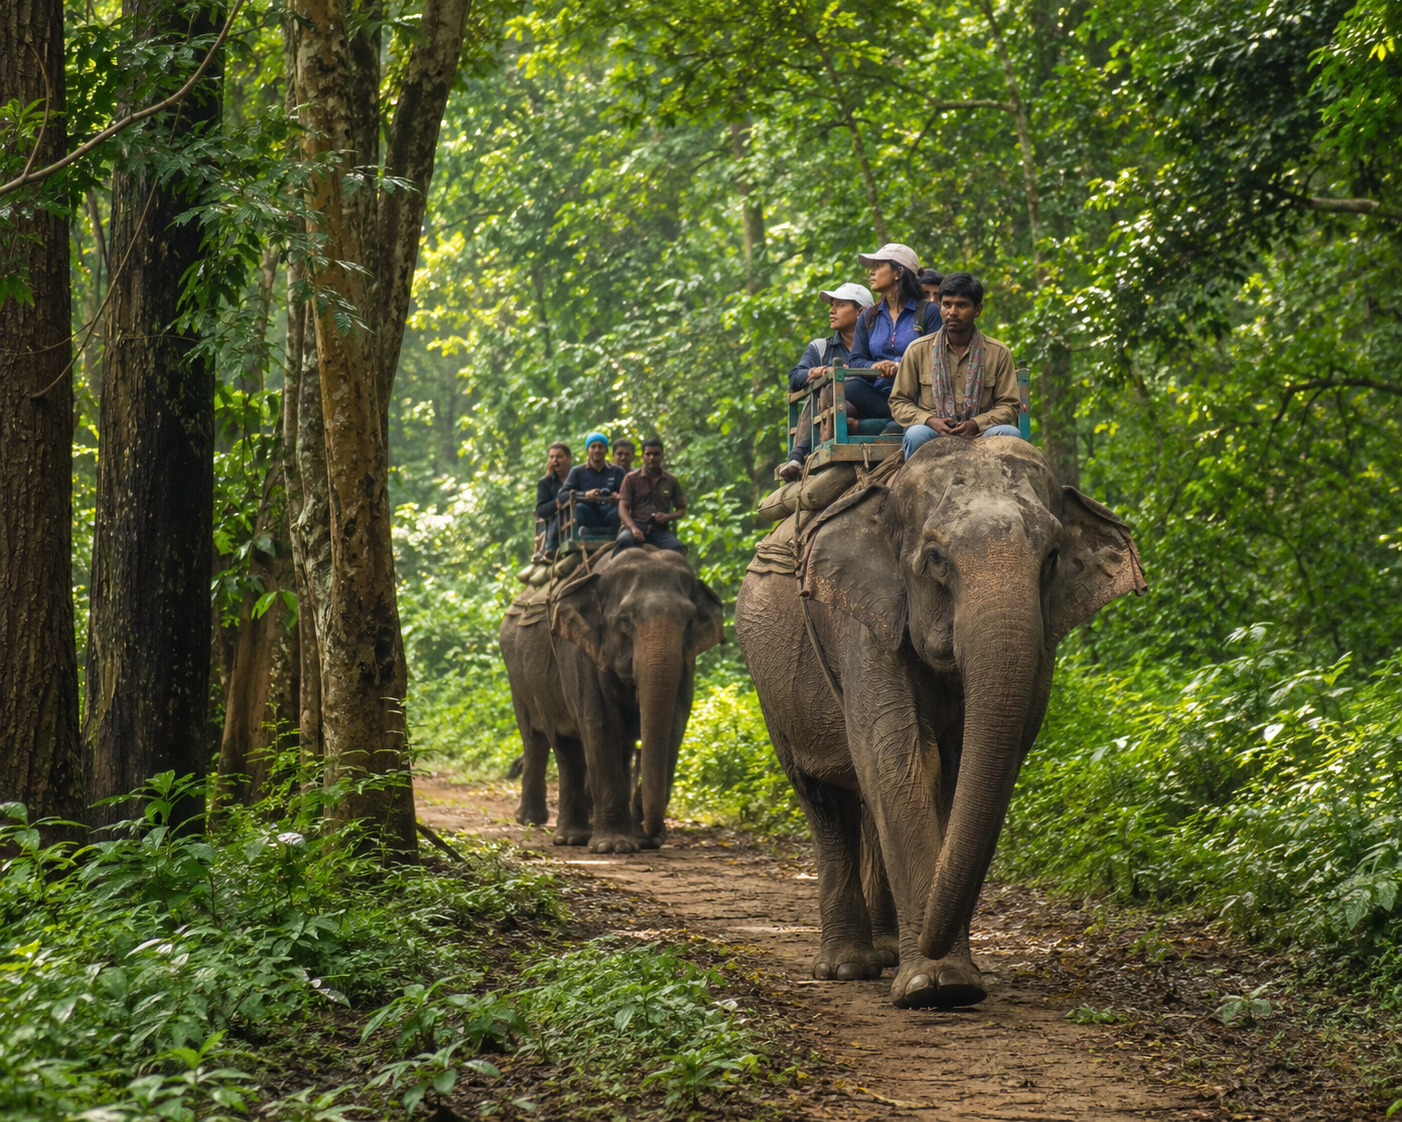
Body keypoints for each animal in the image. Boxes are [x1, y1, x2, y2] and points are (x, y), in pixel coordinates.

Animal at [499, 546, 725, 853]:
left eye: (689, 620)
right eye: (625, 621)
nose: (651, 835)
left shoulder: (686, 664)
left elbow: (673, 729)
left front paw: (642, 840)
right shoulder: (580, 652)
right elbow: (601, 726)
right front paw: (614, 846)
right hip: (519, 674)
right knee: (548, 742)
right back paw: (554, 830)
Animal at [734, 438, 1145, 1009]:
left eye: (1052, 558)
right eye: (934, 558)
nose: (932, 940)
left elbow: (969, 769)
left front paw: (952, 980)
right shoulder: (863, 623)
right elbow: (898, 758)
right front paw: (935, 987)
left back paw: (886, 953)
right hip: (771, 687)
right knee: (824, 801)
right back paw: (847, 968)